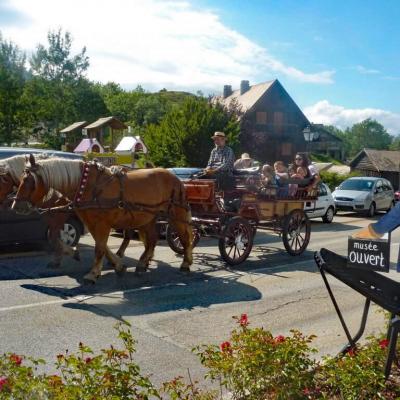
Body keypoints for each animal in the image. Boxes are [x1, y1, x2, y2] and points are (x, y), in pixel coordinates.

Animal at [12, 155, 194, 282]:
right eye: (20, 179)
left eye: (29, 181)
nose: (16, 206)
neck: (87, 185)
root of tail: (175, 178)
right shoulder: (92, 223)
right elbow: (103, 246)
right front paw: (118, 266)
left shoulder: (102, 224)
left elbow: (99, 248)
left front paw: (93, 274)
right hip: (148, 217)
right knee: (152, 240)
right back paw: (142, 264)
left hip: (176, 213)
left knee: (184, 237)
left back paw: (186, 263)